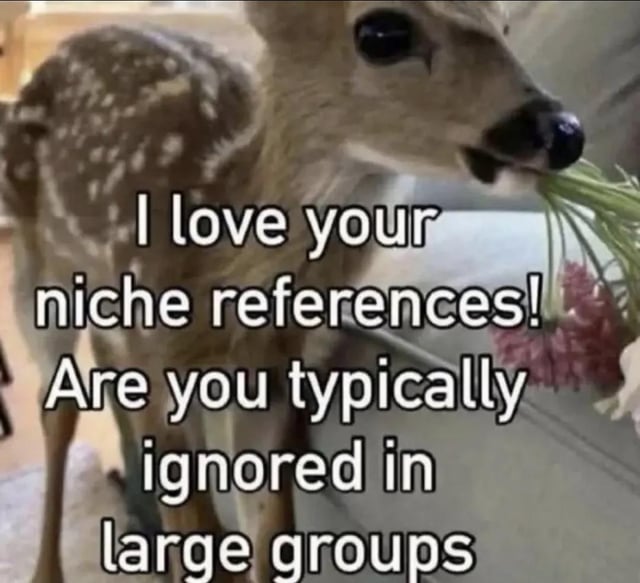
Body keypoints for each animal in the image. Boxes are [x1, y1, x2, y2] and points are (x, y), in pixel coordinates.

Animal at [0, 2, 585, 582]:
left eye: (504, 23)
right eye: (383, 33)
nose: (562, 130)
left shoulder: (273, 377)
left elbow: (267, 527)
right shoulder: (156, 353)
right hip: (39, 261)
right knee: (58, 407)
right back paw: (47, 570)